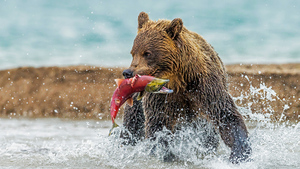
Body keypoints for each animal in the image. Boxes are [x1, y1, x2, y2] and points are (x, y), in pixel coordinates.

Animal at [120, 11, 251, 163]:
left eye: (147, 53)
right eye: (133, 53)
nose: (128, 73)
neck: (179, 80)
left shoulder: (204, 86)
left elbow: (225, 113)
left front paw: (239, 152)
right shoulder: (161, 97)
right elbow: (158, 124)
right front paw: (164, 152)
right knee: (132, 124)